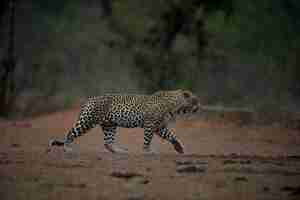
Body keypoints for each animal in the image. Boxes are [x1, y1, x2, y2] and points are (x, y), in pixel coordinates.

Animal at [47, 90, 202, 154]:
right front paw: (147, 151)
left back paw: (120, 151)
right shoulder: (151, 124)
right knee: (70, 133)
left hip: (109, 125)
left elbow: (172, 136)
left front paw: (179, 148)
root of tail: (90, 99)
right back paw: (67, 148)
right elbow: (148, 139)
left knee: (108, 142)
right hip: (88, 120)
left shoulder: (159, 126)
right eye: (195, 100)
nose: (200, 106)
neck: (175, 106)